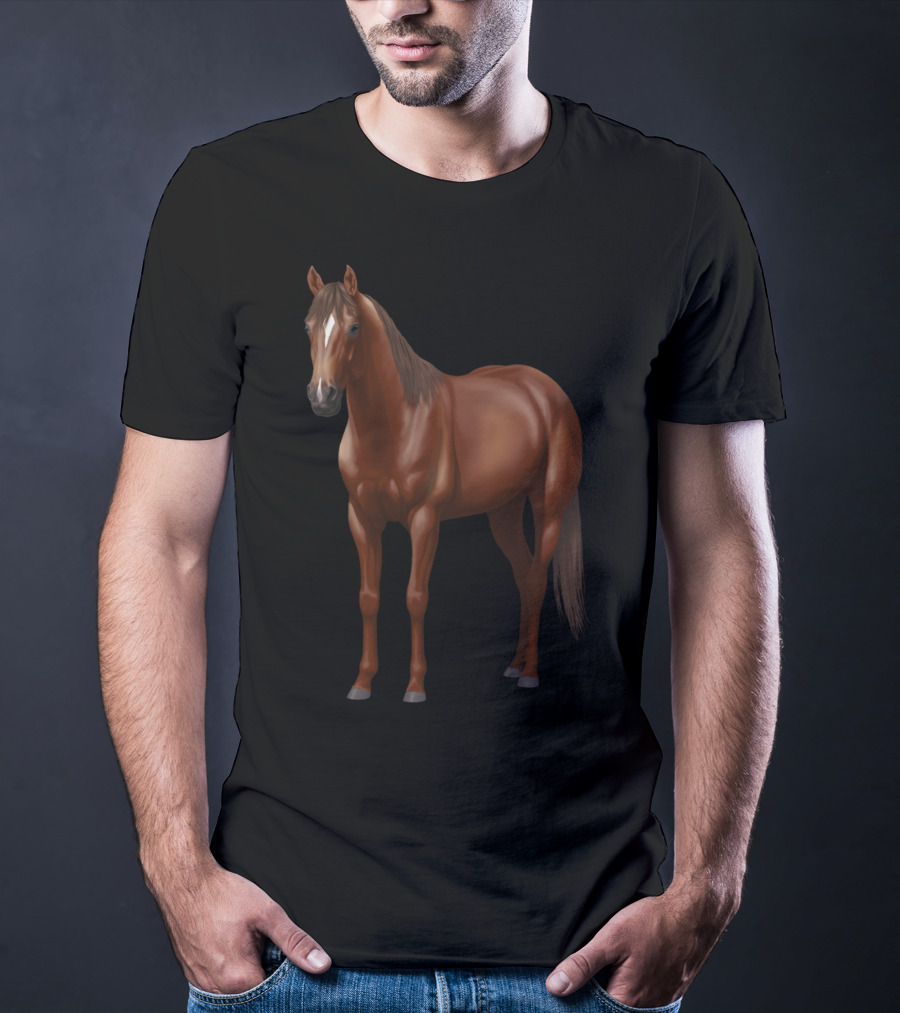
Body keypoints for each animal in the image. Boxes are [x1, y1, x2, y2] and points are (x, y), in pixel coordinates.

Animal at [304, 264, 585, 703]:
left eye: (353, 327)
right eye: (308, 326)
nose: (322, 396)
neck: (398, 423)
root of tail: (547, 392)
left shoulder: (425, 520)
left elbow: (415, 597)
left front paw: (415, 686)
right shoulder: (362, 520)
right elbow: (369, 598)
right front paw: (363, 682)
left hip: (548, 509)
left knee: (537, 580)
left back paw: (529, 674)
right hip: (503, 513)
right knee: (523, 577)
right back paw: (513, 665)